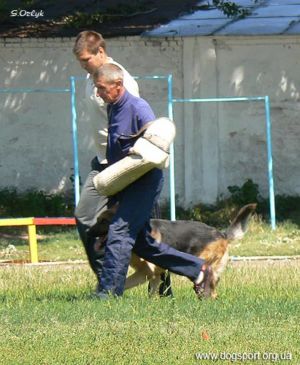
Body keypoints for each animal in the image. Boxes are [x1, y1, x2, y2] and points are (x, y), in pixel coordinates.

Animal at [96, 203, 255, 298]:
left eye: (103, 221)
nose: (90, 231)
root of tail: (221, 234)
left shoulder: (148, 271)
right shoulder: (151, 273)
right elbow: (150, 291)